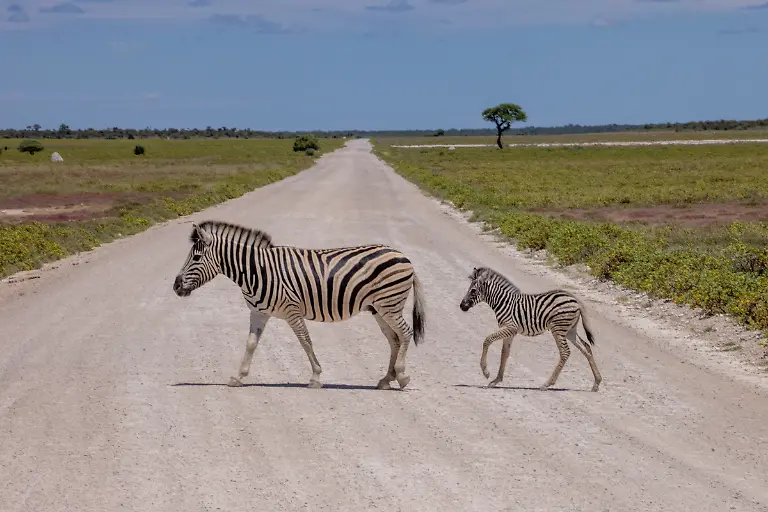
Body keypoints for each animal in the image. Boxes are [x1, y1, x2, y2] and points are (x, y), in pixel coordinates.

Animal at [172, 220, 426, 390]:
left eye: (196, 257)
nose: (175, 286)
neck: (256, 271)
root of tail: (405, 257)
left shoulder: (292, 309)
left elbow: (305, 340)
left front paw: (315, 377)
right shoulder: (258, 312)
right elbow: (251, 343)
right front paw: (239, 377)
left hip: (389, 305)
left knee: (405, 333)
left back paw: (402, 377)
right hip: (379, 309)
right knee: (394, 340)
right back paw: (386, 379)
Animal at [458, 266, 602, 392]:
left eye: (473, 290)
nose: (461, 306)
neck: (503, 302)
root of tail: (575, 299)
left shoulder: (510, 328)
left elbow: (487, 340)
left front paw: (486, 371)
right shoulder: (510, 332)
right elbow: (504, 353)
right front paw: (496, 380)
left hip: (558, 328)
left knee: (565, 352)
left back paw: (547, 384)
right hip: (570, 330)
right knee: (586, 347)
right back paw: (596, 383)